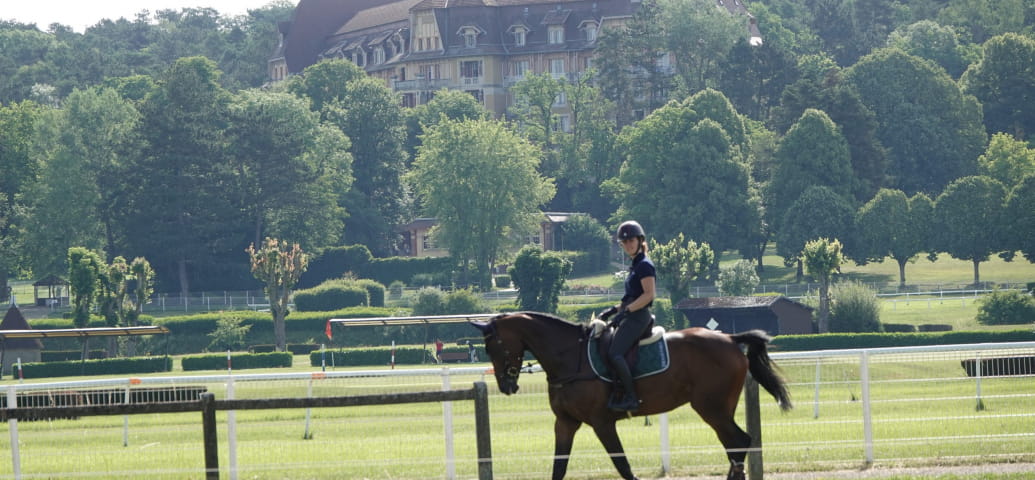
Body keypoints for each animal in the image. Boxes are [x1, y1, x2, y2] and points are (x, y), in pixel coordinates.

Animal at [471, 311, 792, 480]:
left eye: (493, 346)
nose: (506, 385)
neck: (570, 357)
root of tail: (729, 338)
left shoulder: (602, 423)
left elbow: (622, 465)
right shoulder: (565, 423)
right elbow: (558, 467)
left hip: (711, 408)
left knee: (738, 442)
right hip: (717, 409)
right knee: (735, 444)